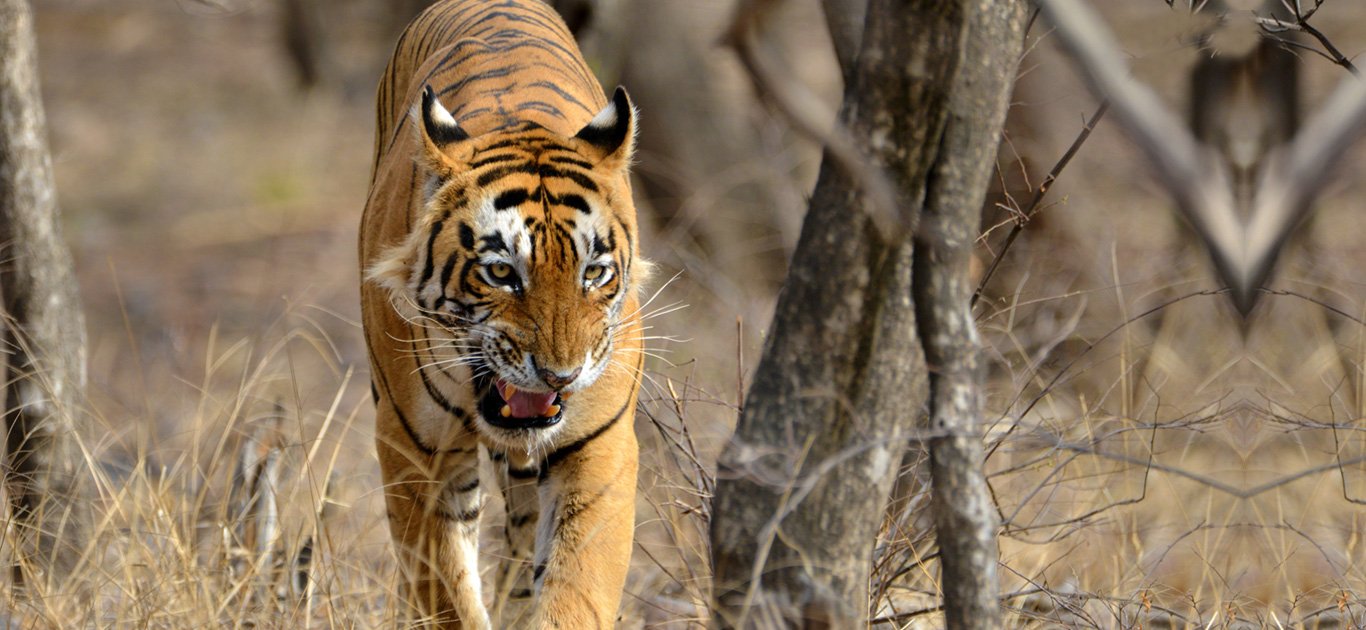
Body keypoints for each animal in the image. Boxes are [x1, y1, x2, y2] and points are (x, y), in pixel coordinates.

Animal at [357, 2, 644, 625]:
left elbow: (576, 585)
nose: (561, 376)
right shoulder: (415, 447)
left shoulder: (599, 442)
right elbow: (445, 592)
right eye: (500, 272)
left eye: (594, 273)